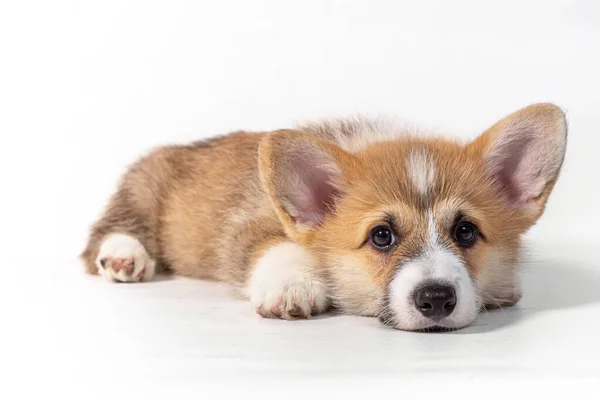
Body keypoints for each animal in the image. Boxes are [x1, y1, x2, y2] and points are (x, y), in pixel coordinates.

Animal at [79, 104, 568, 332]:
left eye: (466, 231)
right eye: (381, 236)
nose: (436, 299)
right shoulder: (252, 224)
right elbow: (277, 247)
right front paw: (291, 287)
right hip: (144, 189)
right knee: (110, 229)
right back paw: (123, 256)